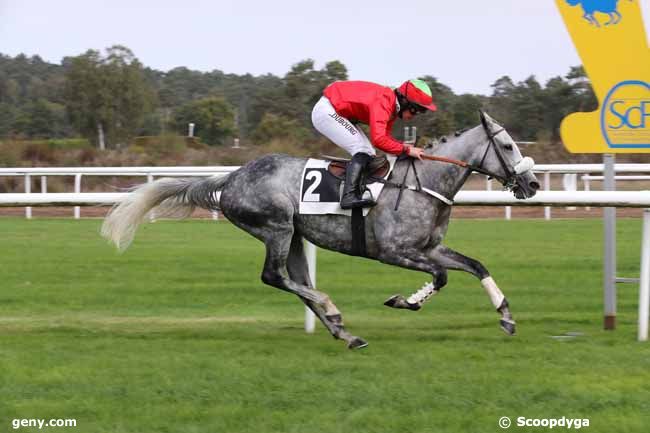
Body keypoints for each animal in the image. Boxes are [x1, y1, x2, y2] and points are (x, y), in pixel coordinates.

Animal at [101, 110, 536, 348]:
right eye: (508, 147)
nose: (531, 184)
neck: (422, 180)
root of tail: (232, 176)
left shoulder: (428, 248)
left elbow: (475, 266)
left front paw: (507, 318)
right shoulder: (395, 251)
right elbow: (441, 276)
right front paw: (403, 301)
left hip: (294, 236)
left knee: (296, 282)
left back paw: (345, 333)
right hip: (275, 228)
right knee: (275, 276)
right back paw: (333, 309)